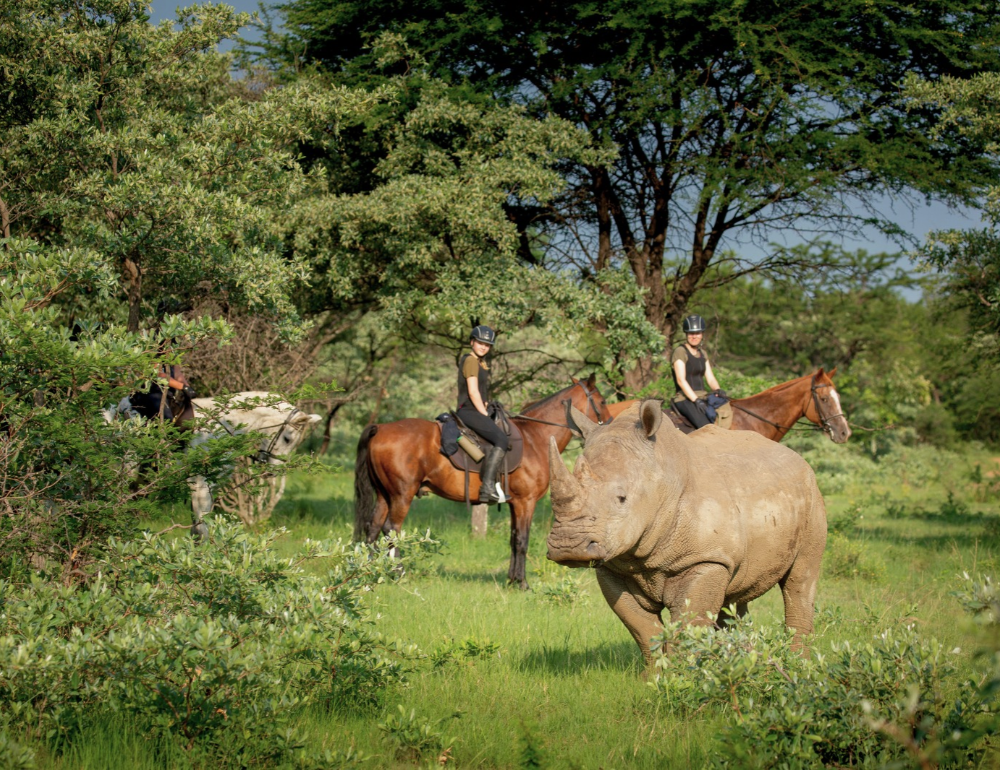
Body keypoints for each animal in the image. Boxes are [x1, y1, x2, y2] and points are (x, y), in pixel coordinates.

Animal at [107, 391, 321, 535]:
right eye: (287, 438)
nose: (271, 472)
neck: (222, 424)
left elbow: (197, 528)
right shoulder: (201, 485)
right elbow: (202, 529)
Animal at [353, 374, 614, 588]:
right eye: (602, 402)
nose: (612, 424)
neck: (535, 438)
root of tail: (381, 428)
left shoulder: (514, 504)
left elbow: (512, 539)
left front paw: (511, 580)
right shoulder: (526, 502)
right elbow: (522, 540)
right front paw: (522, 584)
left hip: (384, 495)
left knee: (373, 527)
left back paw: (368, 573)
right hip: (402, 495)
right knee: (391, 529)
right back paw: (398, 573)